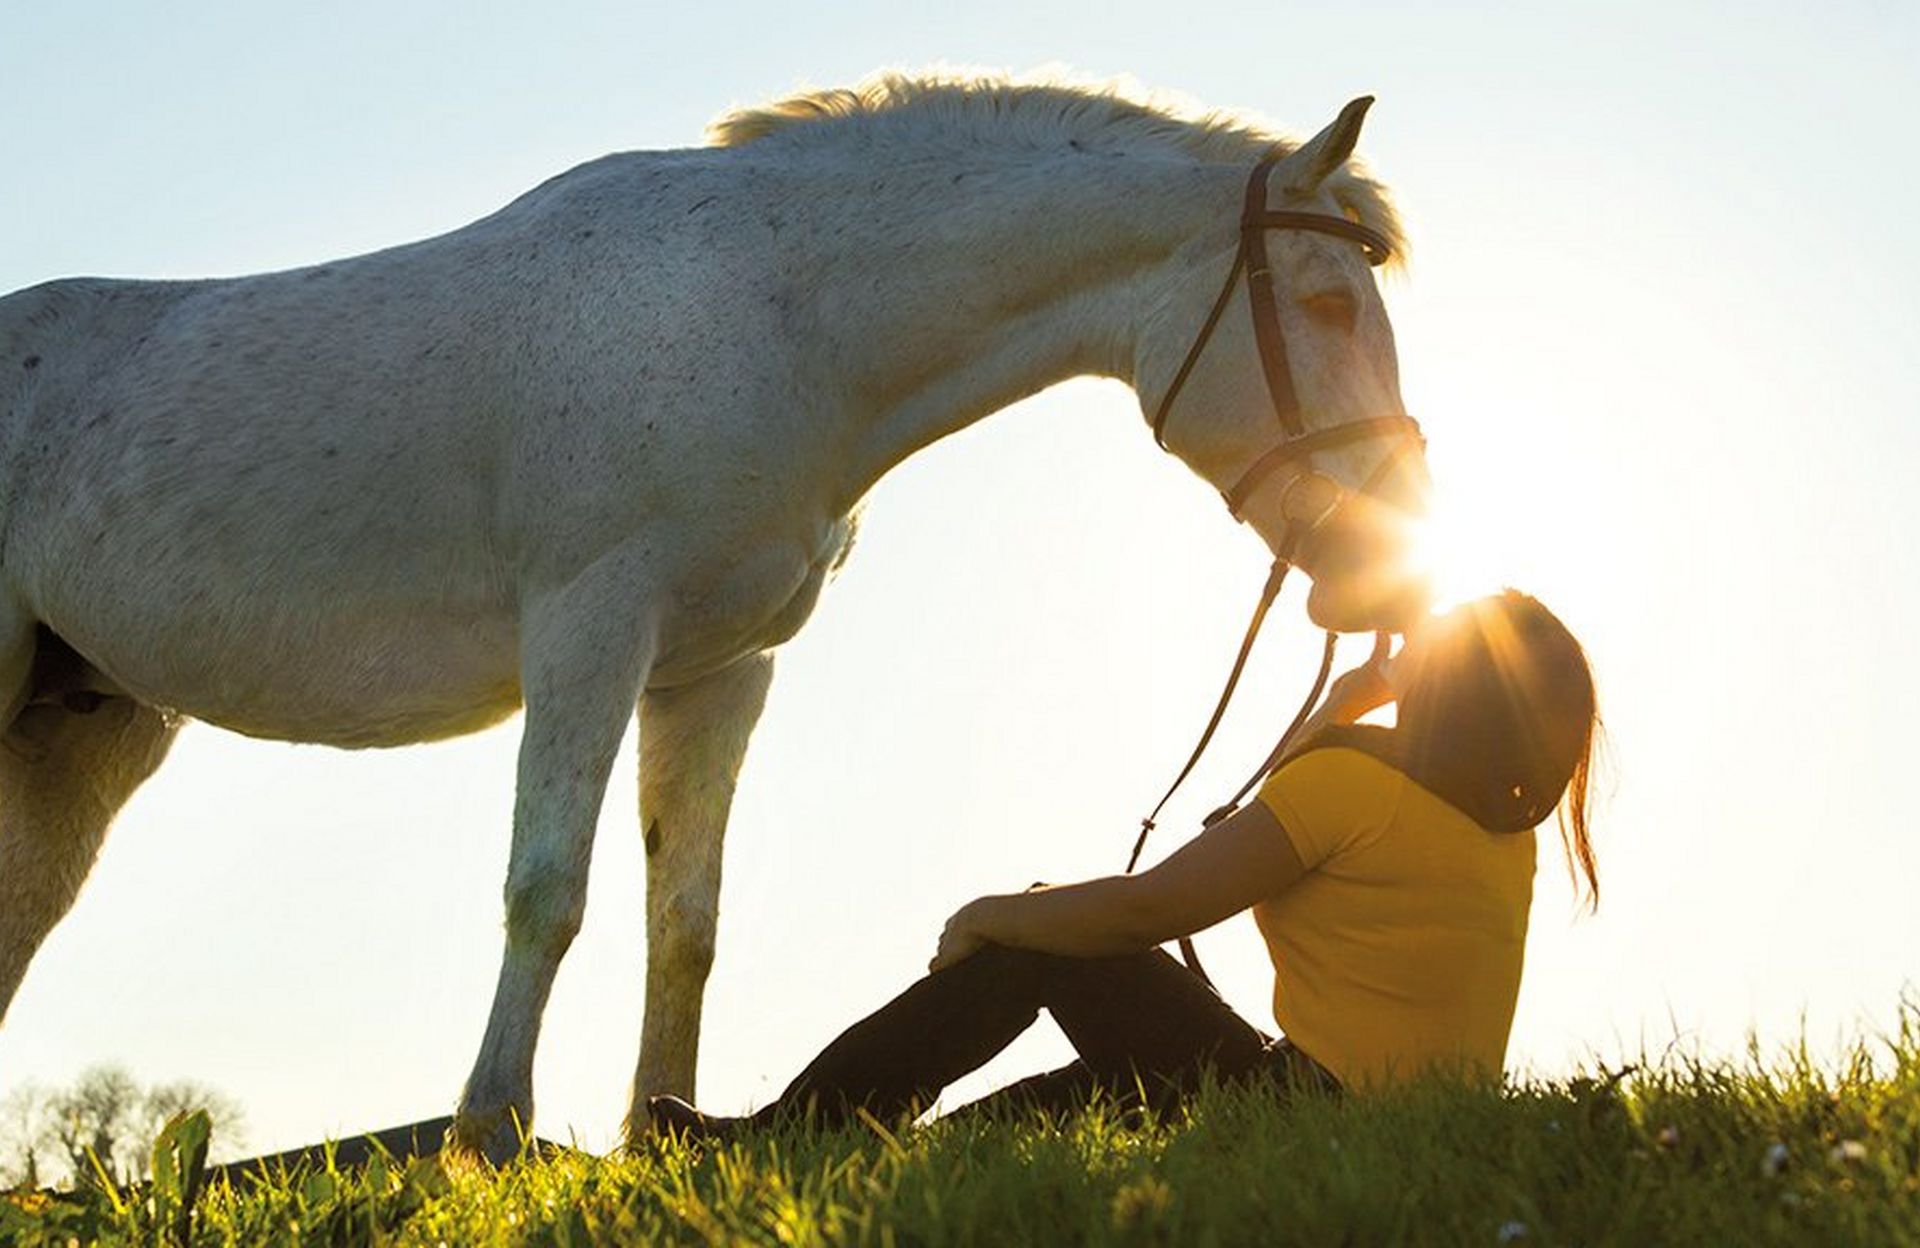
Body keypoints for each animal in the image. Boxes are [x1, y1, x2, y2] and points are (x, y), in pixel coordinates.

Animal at [0, 72, 1428, 1152]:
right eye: (1323, 304)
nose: (1396, 549)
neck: (768, 314)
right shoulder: (588, 627)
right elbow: (548, 890)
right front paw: (488, 1134)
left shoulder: (717, 670)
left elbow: (684, 920)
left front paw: (659, 1130)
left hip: (86, 728)